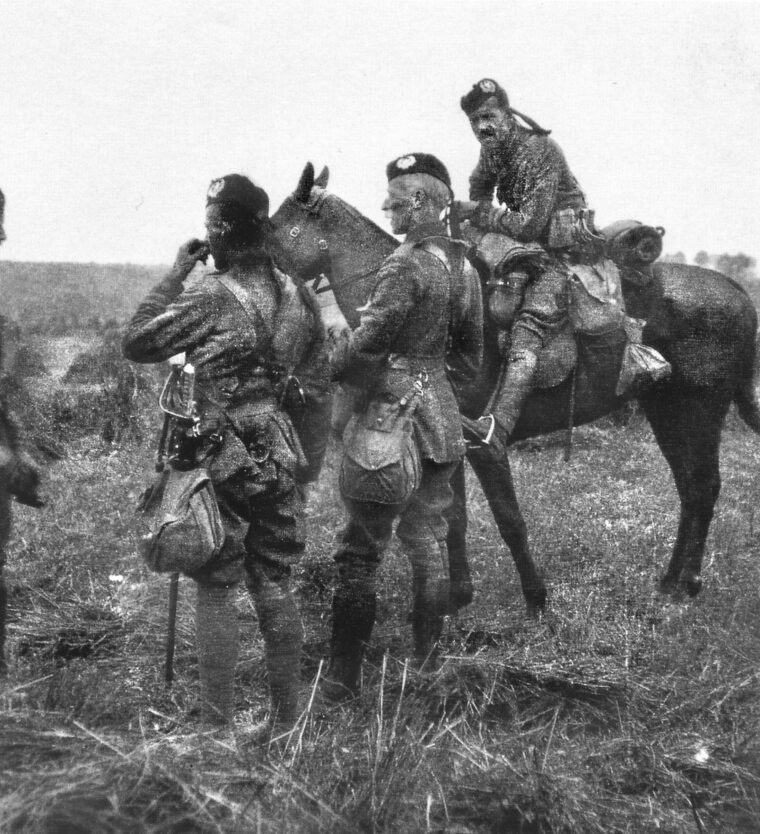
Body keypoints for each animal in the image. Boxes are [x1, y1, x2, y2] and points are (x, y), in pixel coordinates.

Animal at [268, 162, 760, 612]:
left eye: (276, 226)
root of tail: (736, 290)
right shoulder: (450, 445)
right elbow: (454, 519)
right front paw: (458, 596)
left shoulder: (486, 451)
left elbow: (509, 520)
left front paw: (536, 598)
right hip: (667, 412)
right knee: (691, 489)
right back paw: (673, 579)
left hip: (698, 412)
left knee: (702, 487)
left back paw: (685, 583)